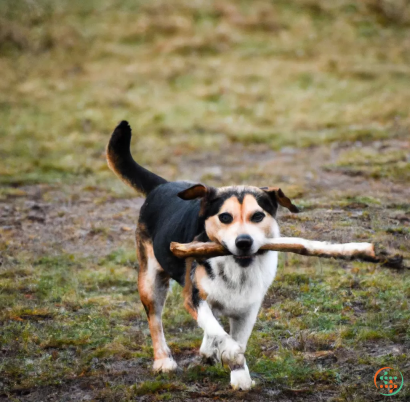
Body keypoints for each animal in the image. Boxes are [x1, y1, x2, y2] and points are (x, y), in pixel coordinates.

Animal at [105, 119, 298, 390]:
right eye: (225, 217)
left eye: (258, 216)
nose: (244, 242)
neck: (237, 269)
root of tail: (162, 186)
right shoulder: (195, 296)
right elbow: (222, 335)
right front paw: (230, 357)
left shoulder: (248, 308)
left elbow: (238, 339)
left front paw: (239, 376)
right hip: (151, 280)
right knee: (155, 319)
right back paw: (163, 360)